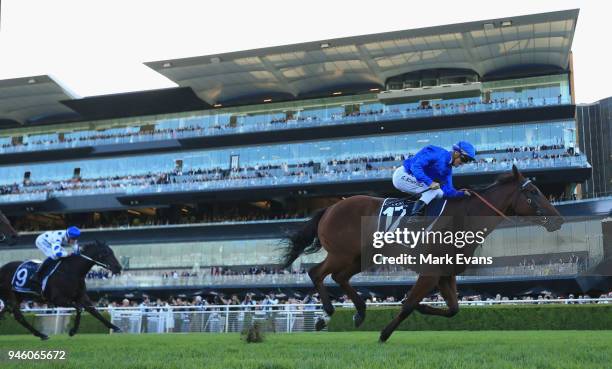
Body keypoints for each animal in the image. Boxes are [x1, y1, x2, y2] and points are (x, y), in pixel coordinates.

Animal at [280, 165, 560, 340]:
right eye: (532, 192)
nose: (557, 219)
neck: (465, 217)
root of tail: (330, 208)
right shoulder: (430, 271)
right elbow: (408, 305)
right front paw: (384, 334)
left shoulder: (446, 274)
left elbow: (453, 309)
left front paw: (425, 308)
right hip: (342, 253)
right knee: (317, 273)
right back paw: (325, 316)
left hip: (361, 257)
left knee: (339, 277)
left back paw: (358, 312)